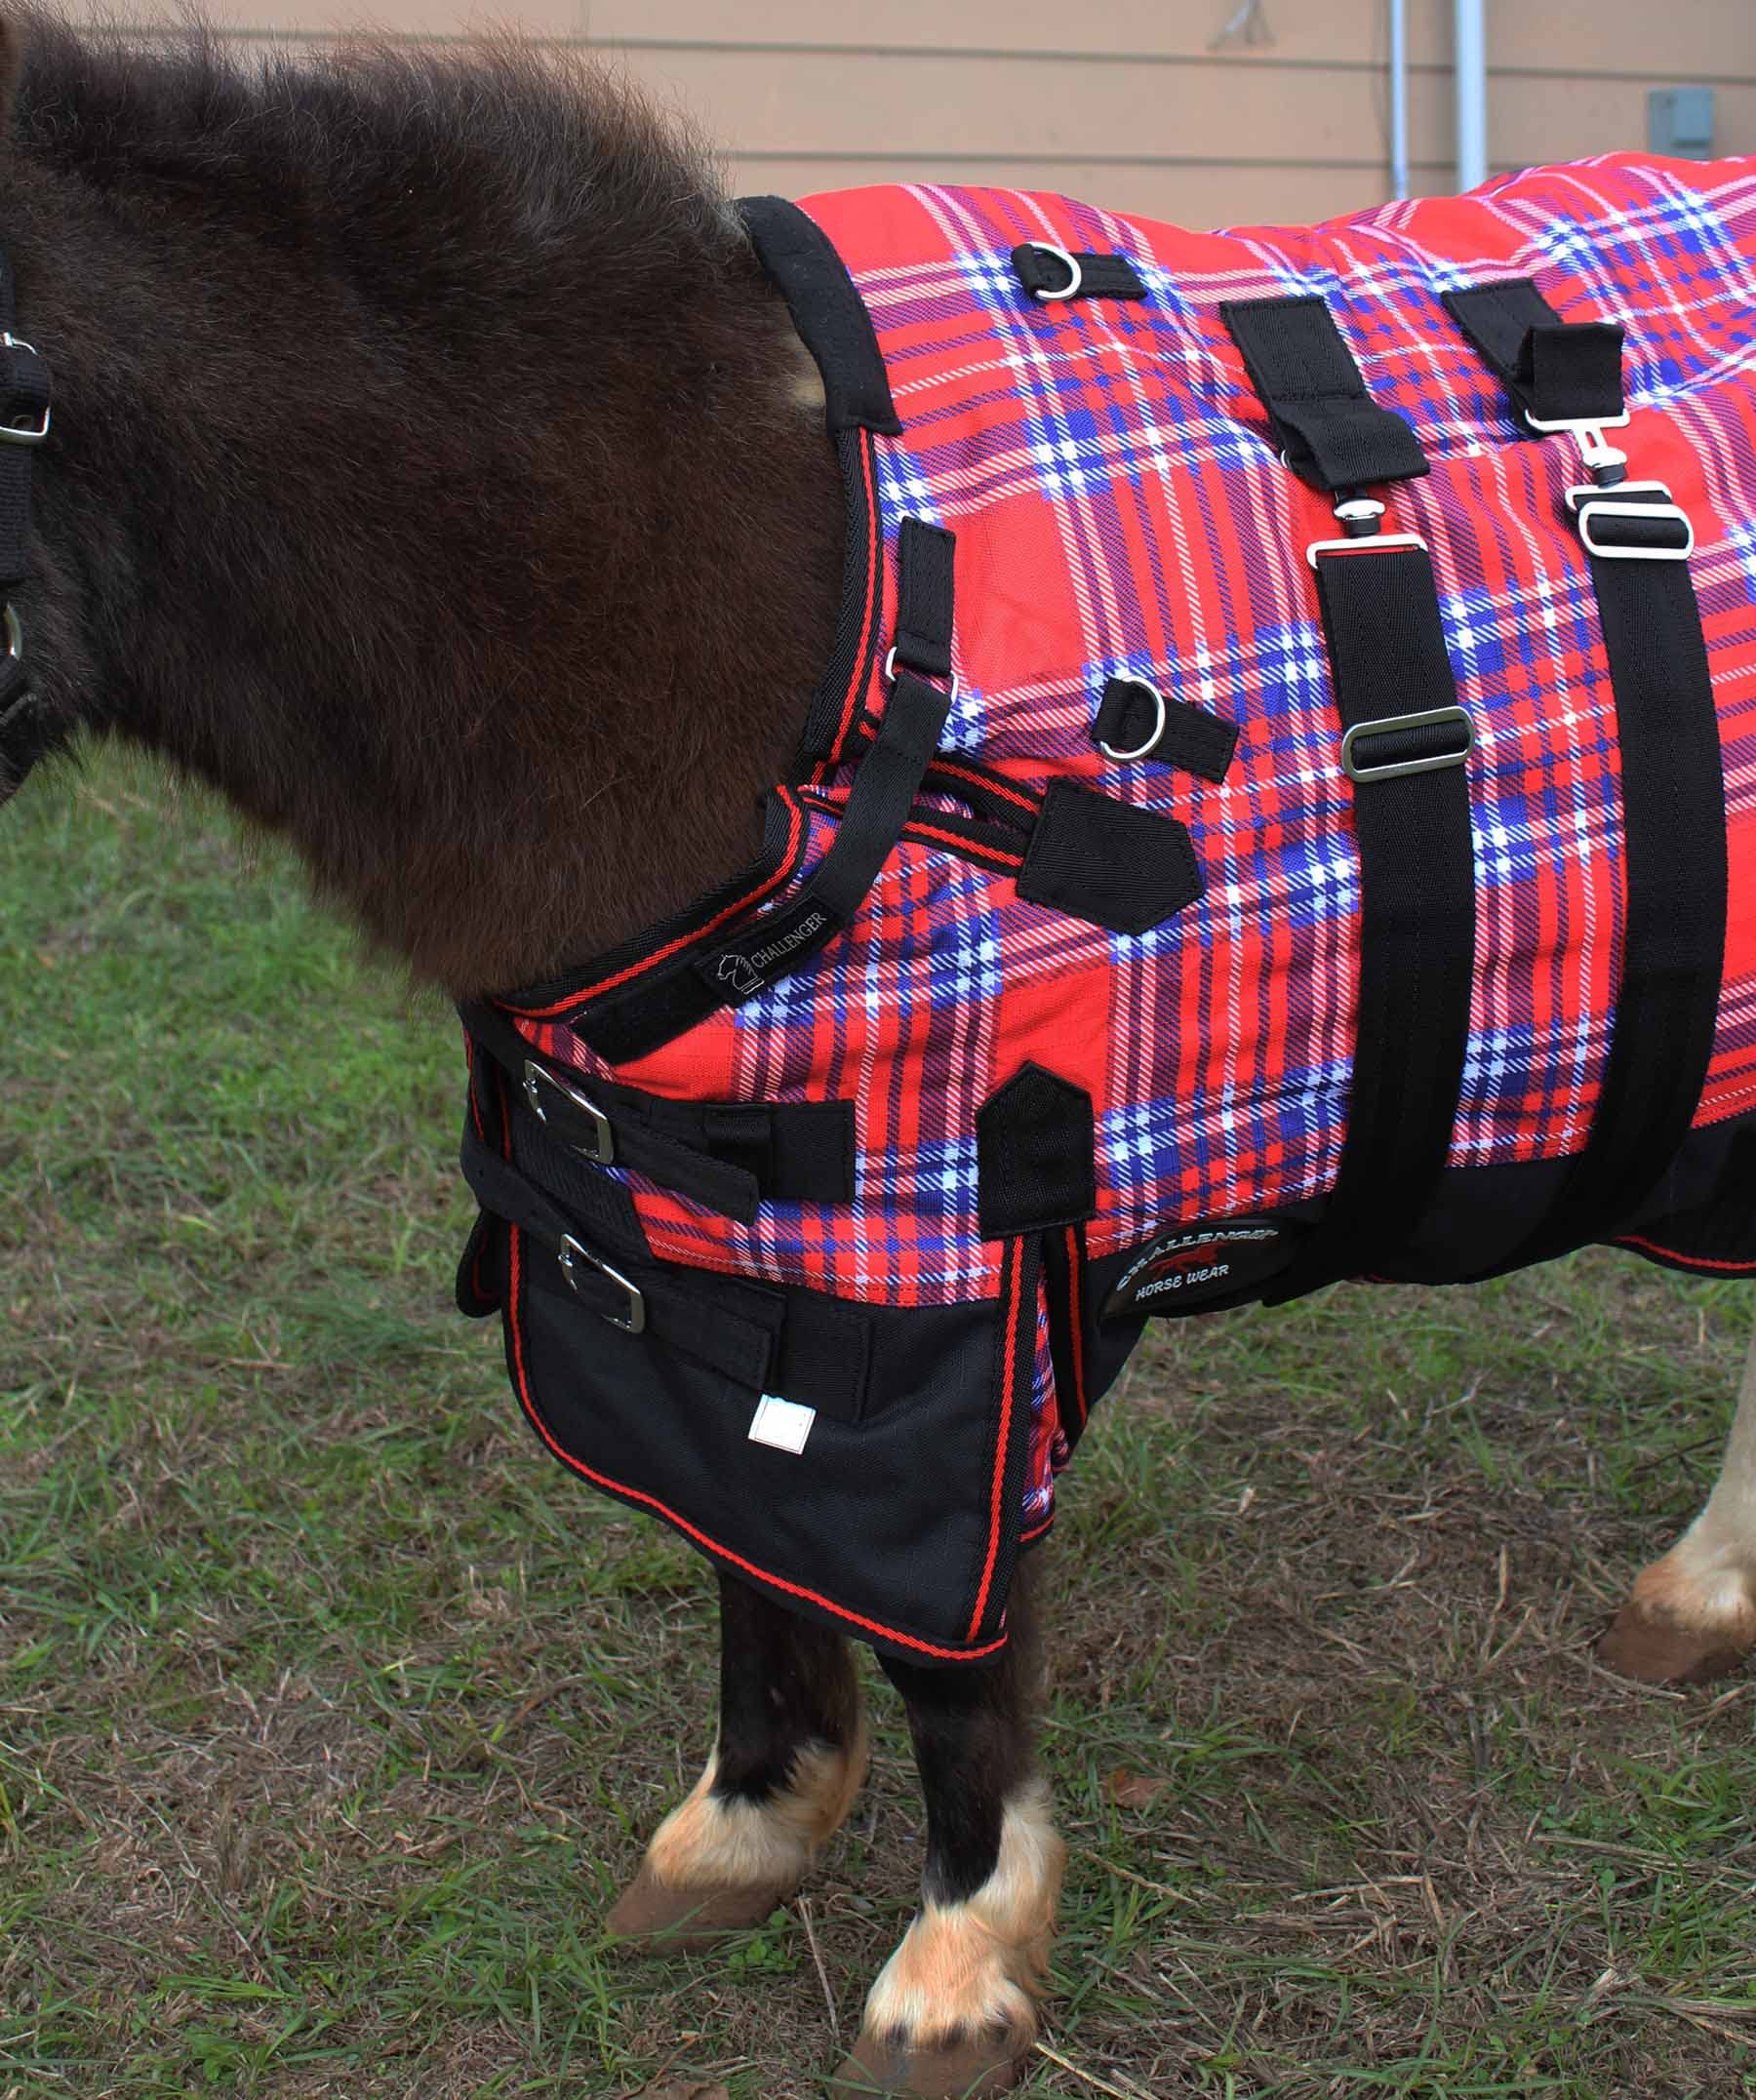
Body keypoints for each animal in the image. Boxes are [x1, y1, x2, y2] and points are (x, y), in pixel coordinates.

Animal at [3, 15, 1752, 2095]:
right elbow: (747, 1540)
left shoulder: (954, 1261)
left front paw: (963, 1946)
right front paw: (751, 1817)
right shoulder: (706, 1240)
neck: (766, 591)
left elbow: (945, 1633)